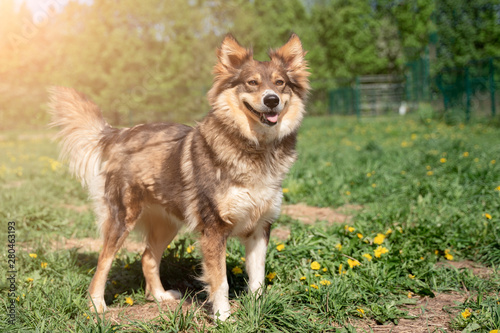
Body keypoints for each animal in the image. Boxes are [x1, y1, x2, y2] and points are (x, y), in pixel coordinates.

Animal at [48, 33, 310, 320]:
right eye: (252, 83)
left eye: (280, 83)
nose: (272, 100)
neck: (257, 147)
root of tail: (120, 133)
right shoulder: (214, 228)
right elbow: (220, 281)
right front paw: (223, 317)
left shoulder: (261, 226)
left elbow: (258, 278)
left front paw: (259, 311)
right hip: (122, 217)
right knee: (103, 260)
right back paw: (97, 306)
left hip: (167, 223)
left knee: (147, 257)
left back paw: (160, 297)